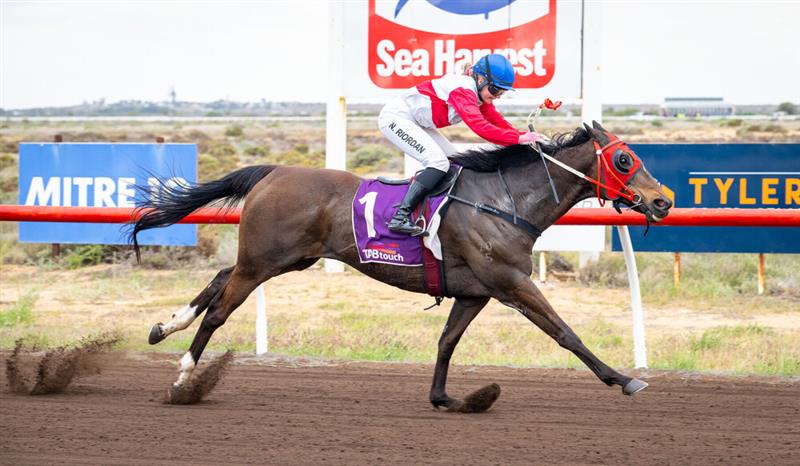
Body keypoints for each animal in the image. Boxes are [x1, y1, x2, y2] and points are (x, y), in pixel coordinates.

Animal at [132, 121, 672, 411]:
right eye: (625, 160)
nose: (662, 200)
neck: (503, 201)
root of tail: (276, 169)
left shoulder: (475, 292)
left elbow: (447, 342)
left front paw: (445, 398)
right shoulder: (511, 282)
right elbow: (565, 333)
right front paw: (624, 379)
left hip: (283, 259)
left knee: (220, 279)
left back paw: (164, 327)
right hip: (265, 260)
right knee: (221, 311)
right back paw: (183, 377)